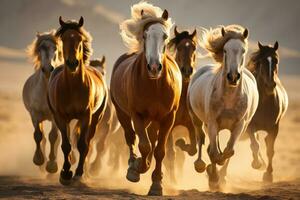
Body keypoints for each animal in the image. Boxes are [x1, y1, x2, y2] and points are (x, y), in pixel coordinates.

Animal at [22, 30, 62, 173]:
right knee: (43, 138)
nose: (48, 69)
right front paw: (39, 160)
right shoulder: (35, 115)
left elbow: (53, 137)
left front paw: (51, 165)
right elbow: (39, 136)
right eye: (40, 48)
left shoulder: (55, 116)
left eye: (55, 48)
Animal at [47, 16, 107, 185]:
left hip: (96, 118)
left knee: (88, 143)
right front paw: (65, 173)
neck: (73, 87)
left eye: (80, 39)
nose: (72, 63)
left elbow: (82, 145)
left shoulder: (86, 117)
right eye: (63, 39)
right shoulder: (60, 118)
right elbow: (66, 145)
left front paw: (79, 174)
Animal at [109, 1, 180, 195]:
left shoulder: (168, 118)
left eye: (165, 36)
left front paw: (157, 184)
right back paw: (134, 164)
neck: (155, 86)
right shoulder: (137, 115)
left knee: (151, 141)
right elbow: (144, 145)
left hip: (154, 120)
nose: (154, 67)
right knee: (131, 137)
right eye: (145, 35)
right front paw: (137, 169)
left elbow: (160, 150)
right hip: (123, 114)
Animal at [163, 26, 205, 183]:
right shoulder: (168, 127)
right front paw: (173, 182)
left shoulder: (191, 125)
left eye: (193, 47)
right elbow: (170, 154)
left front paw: (181, 143)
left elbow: (192, 149)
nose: (187, 70)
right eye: (179, 47)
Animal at [188, 25, 260, 189]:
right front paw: (214, 178)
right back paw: (201, 165)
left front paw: (220, 176)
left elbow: (228, 151)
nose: (233, 77)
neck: (229, 99)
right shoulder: (212, 123)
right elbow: (214, 153)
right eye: (225, 50)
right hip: (199, 121)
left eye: (243, 51)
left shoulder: (240, 125)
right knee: (202, 141)